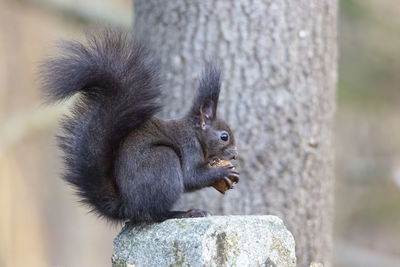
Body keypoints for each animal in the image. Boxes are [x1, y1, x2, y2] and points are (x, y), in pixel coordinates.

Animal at [41, 29, 238, 224]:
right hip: (163, 161)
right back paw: (184, 213)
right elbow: (192, 177)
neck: (196, 134)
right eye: (224, 136)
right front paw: (221, 171)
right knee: (155, 214)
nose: (235, 155)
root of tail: (129, 207)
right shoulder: (190, 147)